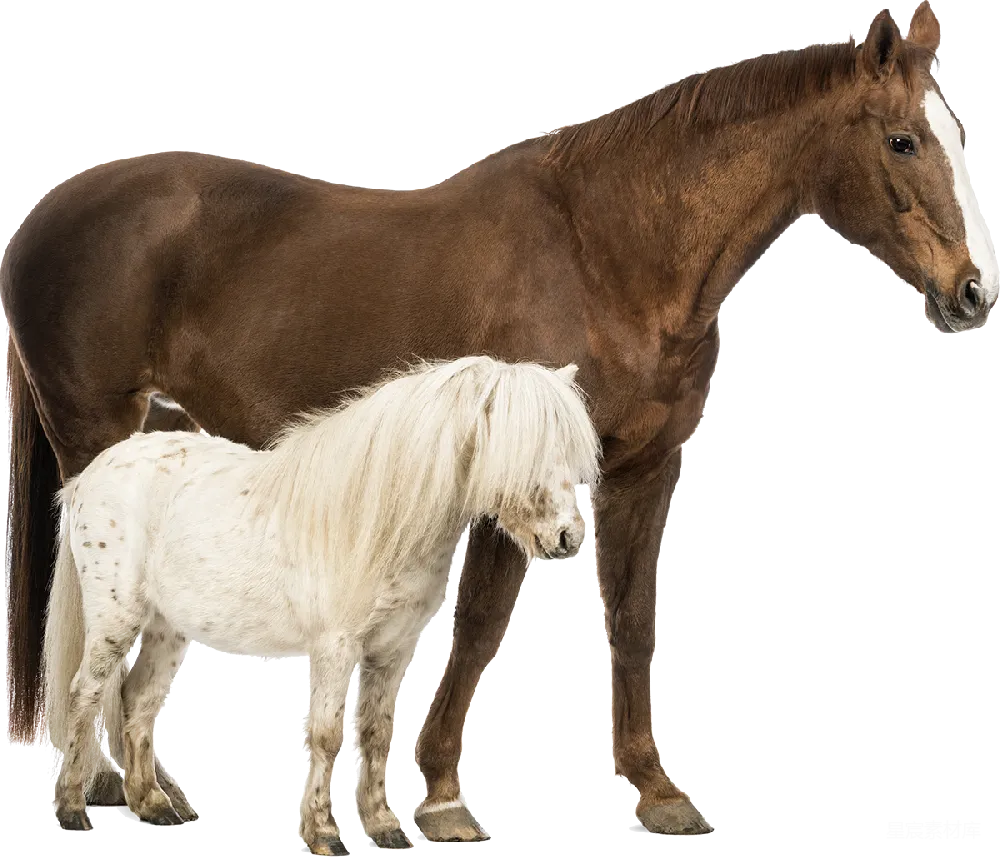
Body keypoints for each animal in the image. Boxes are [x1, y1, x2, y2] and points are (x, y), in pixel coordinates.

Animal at [42, 355, 601, 854]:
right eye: (520, 450)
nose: (568, 536)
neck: (377, 518)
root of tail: (88, 477)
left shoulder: (392, 650)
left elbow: (375, 731)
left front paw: (384, 827)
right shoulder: (336, 646)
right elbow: (328, 734)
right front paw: (324, 834)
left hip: (165, 627)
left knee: (137, 700)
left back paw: (154, 806)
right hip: (115, 620)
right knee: (84, 694)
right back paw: (71, 810)